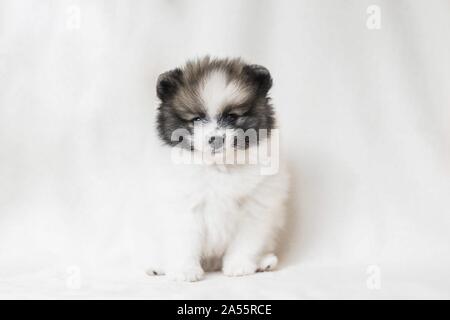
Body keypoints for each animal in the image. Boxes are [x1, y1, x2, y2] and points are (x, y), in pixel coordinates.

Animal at [148, 57, 288, 280]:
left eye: (231, 116)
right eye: (196, 119)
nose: (216, 139)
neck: (218, 165)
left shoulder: (254, 207)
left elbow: (247, 241)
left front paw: (239, 265)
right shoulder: (184, 206)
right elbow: (184, 241)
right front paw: (185, 270)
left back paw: (264, 262)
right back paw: (159, 266)